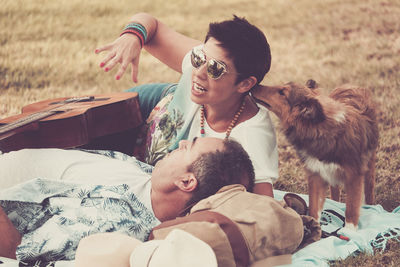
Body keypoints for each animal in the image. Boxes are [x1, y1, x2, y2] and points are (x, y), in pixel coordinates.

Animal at [252, 80, 380, 229]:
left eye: (282, 93)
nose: (255, 85)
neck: (323, 133)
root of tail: (350, 85)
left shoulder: (354, 177)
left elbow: (351, 210)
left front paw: (349, 231)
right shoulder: (316, 174)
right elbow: (314, 208)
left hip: (369, 165)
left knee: (369, 189)